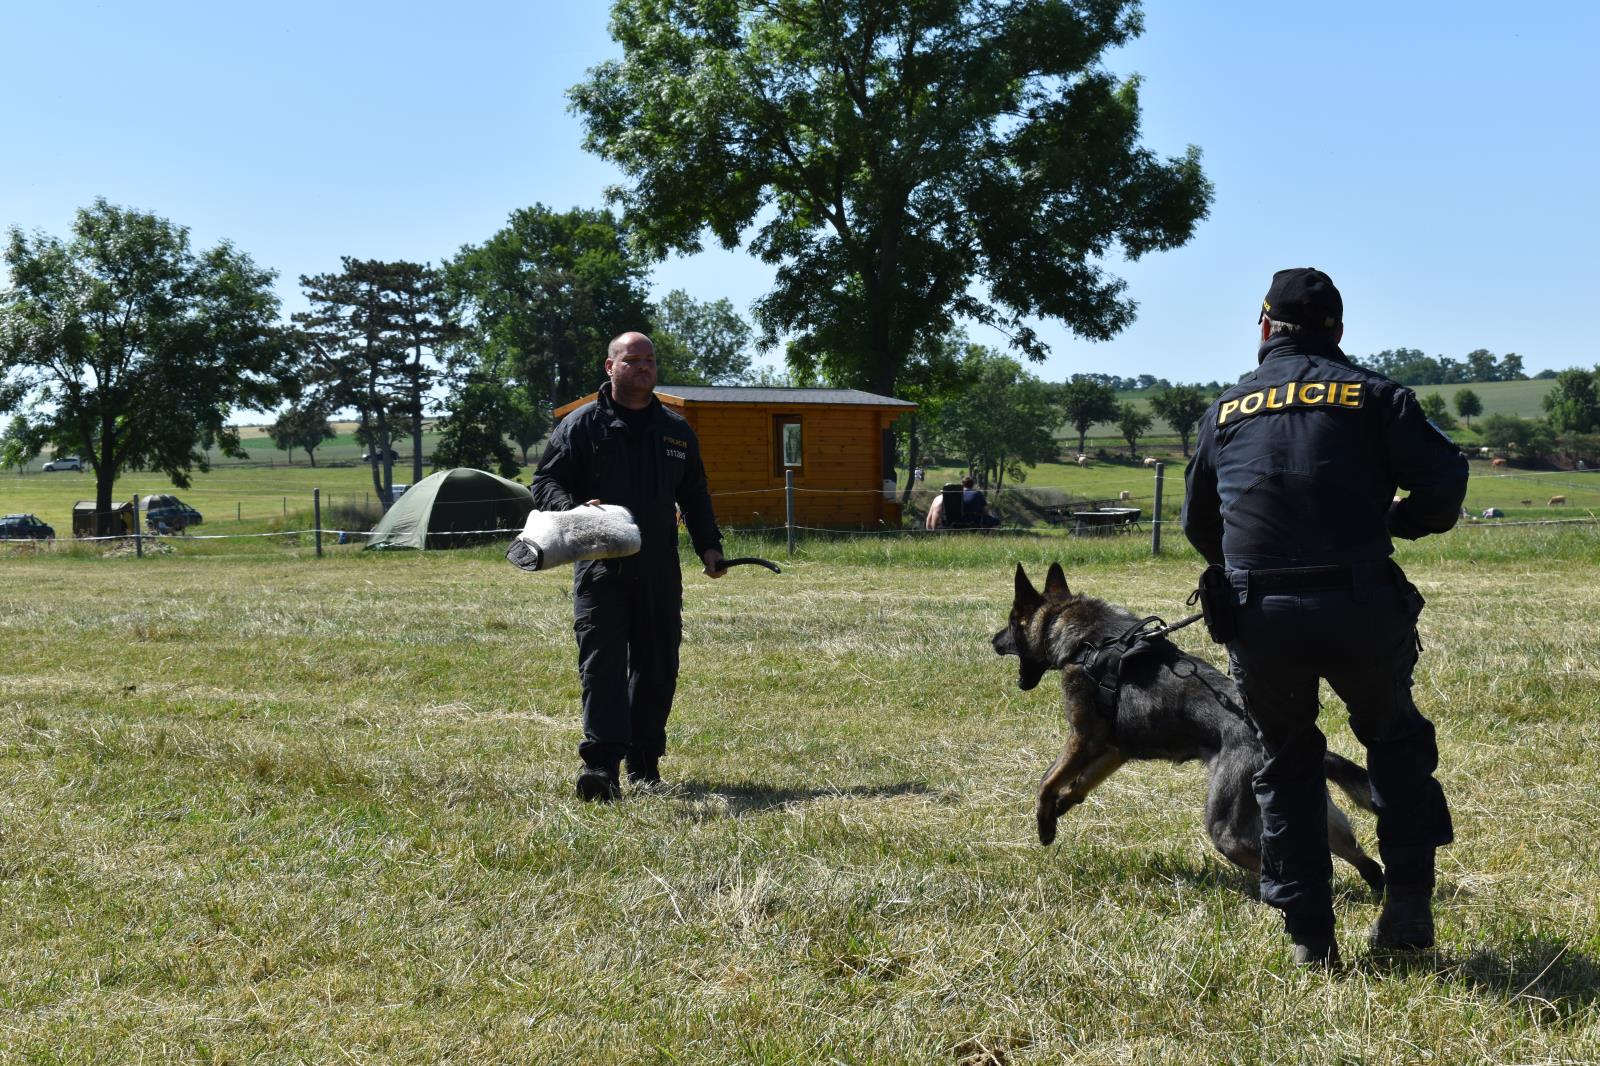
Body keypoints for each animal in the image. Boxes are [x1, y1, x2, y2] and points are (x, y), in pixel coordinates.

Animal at [992, 563, 1382, 889]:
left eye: (1011, 622)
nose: (992, 641)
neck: (1078, 633)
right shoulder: (1115, 750)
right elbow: (1080, 783)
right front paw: (1063, 805)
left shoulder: (1083, 738)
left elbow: (1046, 781)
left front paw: (1045, 823)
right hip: (1319, 818)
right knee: (1363, 860)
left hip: (1228, 830)